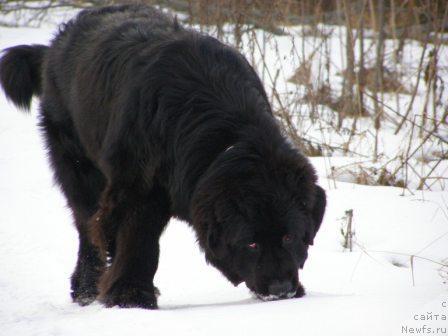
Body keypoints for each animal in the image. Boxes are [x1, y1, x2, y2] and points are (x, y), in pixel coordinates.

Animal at [0, 4, 326, 310]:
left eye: (289, 237)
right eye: (252, 243)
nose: (280, 289)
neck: (224, 131)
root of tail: (56, 44)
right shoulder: (137, 188)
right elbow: (138, 241)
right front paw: (130, 297)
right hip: (79, 165)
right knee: (87, 229)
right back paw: (86, 289)